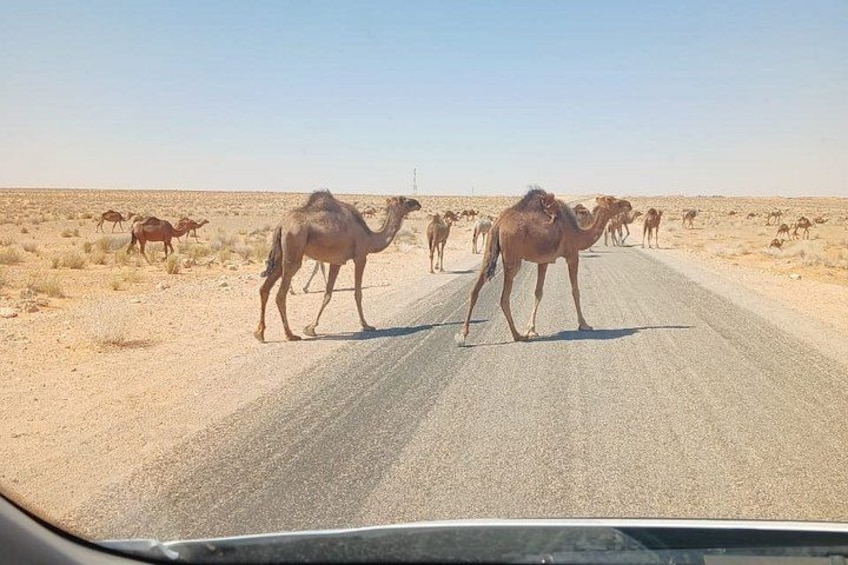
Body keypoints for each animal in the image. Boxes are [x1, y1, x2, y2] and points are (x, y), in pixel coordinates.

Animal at [254, 191, 420, 342]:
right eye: (403, 200)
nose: (418, 203)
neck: (369, 237)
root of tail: (281, 225)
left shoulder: (336, 262)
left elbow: (328, 294)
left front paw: (310, 328)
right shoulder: (361, 257)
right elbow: (358, 293)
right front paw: (366, 325)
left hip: (281, 257)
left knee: (264, 289)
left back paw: (260, 334)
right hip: (293, 251)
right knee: (280, 294)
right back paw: (290, 335)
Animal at [456, 189, 632, 344]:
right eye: (610, 199)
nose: (628, 204)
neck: (578, 233)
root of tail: (498, 223)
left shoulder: (544, 261)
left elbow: (538, 292)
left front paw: (531, 329)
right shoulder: (572, 255)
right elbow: (575, 291)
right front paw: (584, 324)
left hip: (489, 250)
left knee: (475, 289)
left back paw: (463, 335)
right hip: (513, 257)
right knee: (504, 298)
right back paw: (517, 335)